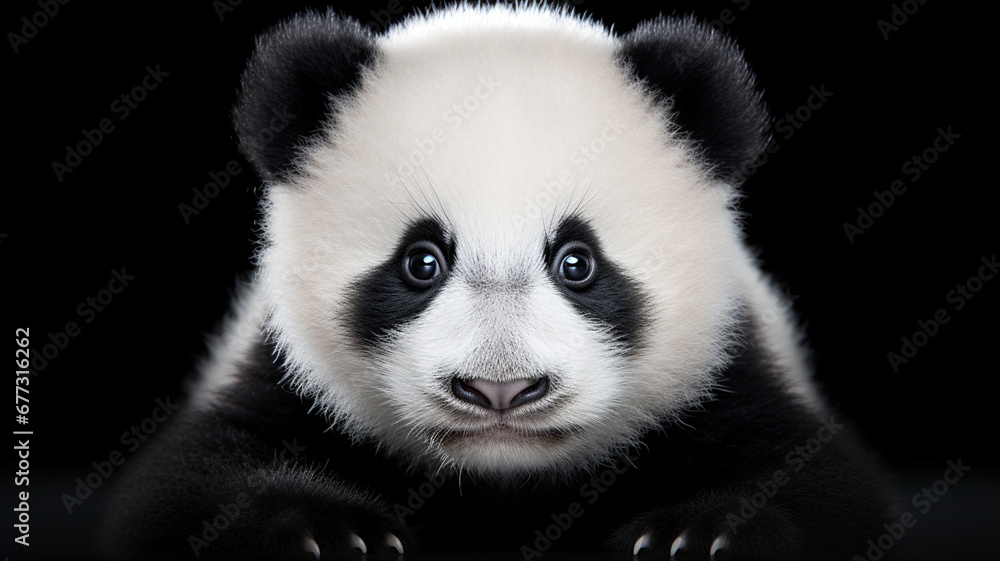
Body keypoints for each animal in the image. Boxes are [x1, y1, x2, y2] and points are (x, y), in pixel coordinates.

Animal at [103, 3, 893, 559]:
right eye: (421, 262)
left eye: (577, 262)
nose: (500, 390)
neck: (504, 481)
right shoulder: (283, 375)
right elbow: (184, 487)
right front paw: (323, 531)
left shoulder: (728, 367)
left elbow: (824, 482)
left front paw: (701, 532)